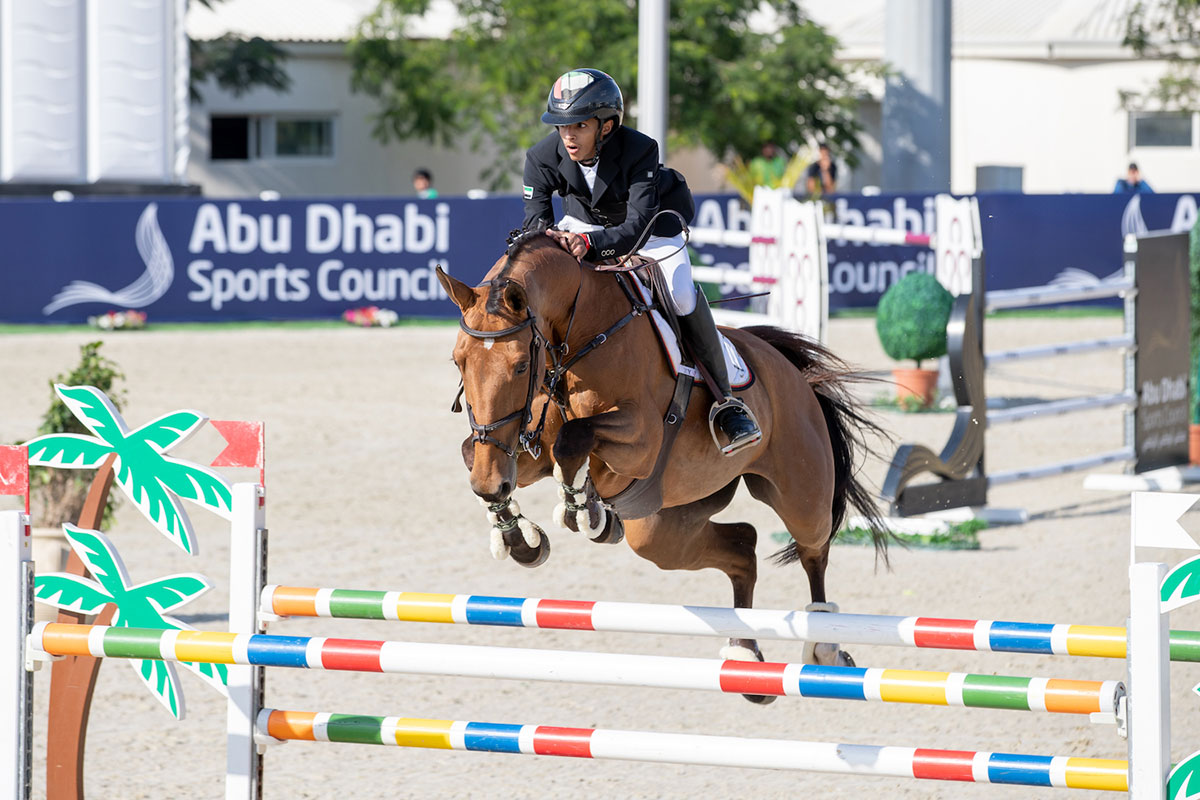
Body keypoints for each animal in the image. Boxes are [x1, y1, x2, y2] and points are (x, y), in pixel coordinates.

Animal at [436, 227, 888, 695]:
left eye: (522, 365)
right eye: (459, 360)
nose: (491, 483)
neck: (578, 337)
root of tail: (792, 372)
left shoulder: (641, 441)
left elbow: (573, 440)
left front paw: (580, 508)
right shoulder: (519, 445)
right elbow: (479, 451)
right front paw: (517, 534)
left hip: (801, 495)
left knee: (814, 553)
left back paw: (824, 648)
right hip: (664, 527)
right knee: (742, 547)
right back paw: (744, 655)